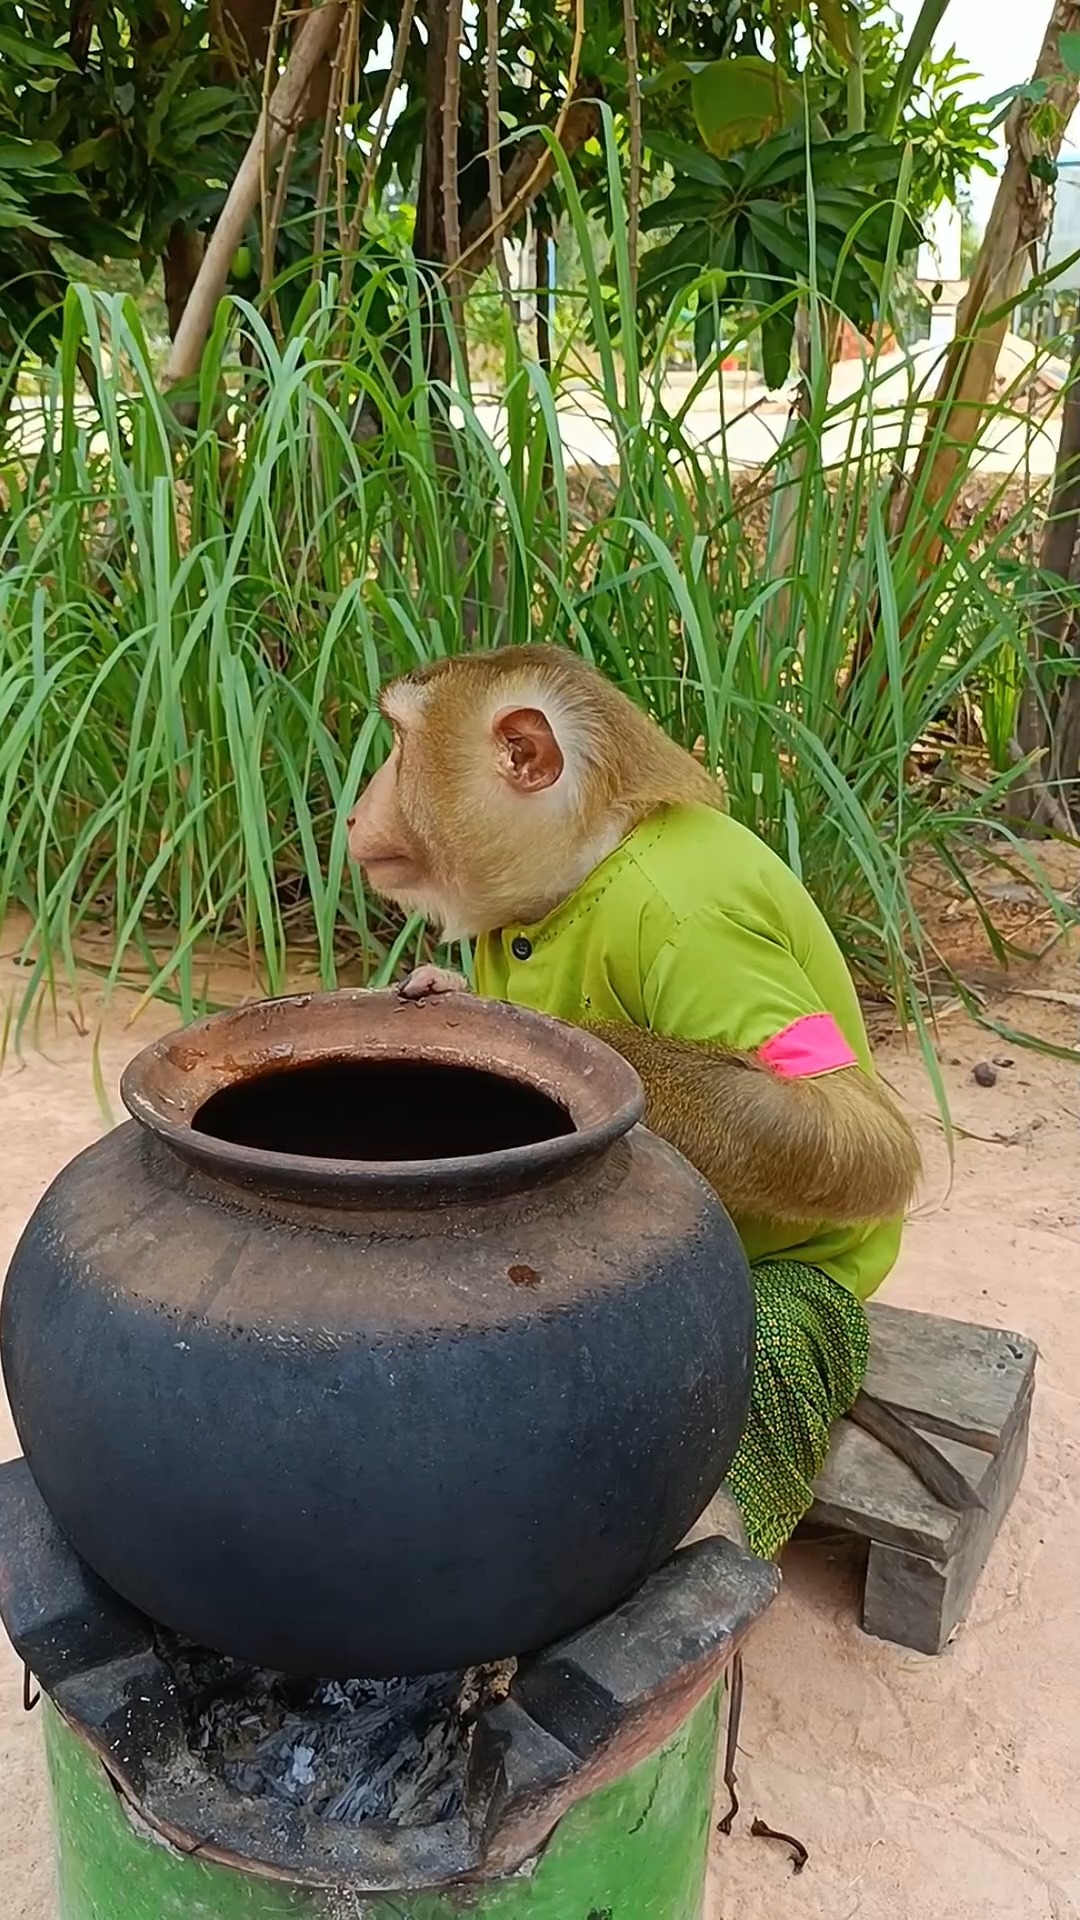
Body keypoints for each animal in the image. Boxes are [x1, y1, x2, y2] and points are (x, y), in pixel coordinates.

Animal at [346, 644, 923, 1561]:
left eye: (399, 743)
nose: (357, 809)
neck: (592, 862)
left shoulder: (705, 924)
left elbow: (860, 1135)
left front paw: (557, 1034)